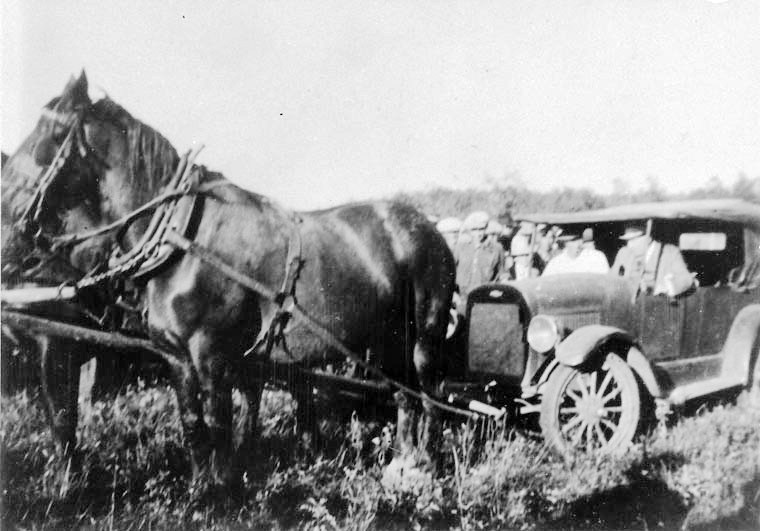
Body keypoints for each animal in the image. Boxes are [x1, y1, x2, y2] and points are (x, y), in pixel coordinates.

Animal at [2, 72, 454, 488]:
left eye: (52, 134)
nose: (7, 207)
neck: (183, 238)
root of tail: (430, 231)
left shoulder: (212, 354)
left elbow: (218, 425)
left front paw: (222, 492)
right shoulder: (176, 357)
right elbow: (193, 425)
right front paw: (201, 491)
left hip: (425, 338)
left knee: (430, 399)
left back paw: (425, 468)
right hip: (387, 340)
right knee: (404, 395)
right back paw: (400, 467)